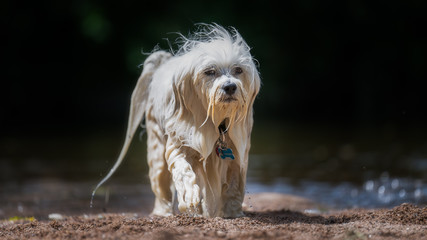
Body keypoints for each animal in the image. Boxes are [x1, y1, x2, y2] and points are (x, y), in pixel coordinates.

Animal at [93, 24, 260, 218]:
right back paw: (163, 211)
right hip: (157, 147)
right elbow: (183, 170)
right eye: (209, 71)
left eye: (238, 70)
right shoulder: (179, 144)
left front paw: (232, 213)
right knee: (161, 184)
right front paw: (189, 196)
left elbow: (234, 187)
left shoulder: (237, 153)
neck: (215, 122)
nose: (230, 87)